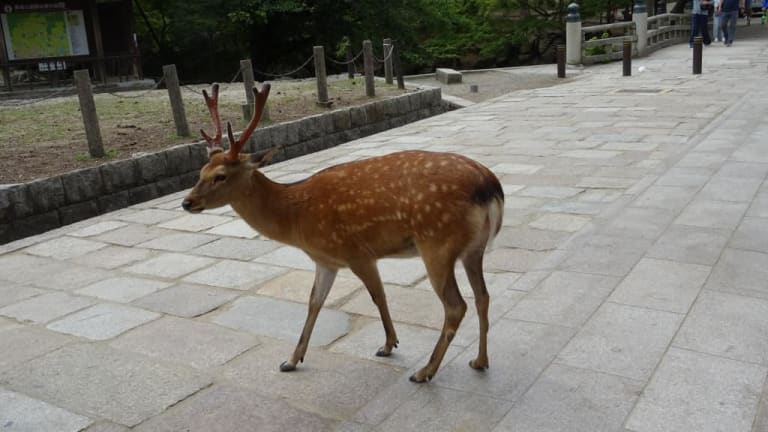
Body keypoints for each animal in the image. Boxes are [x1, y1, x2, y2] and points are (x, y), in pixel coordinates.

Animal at [182, 83, 504, 383]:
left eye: (220, 176)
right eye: (200, 171)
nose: (187, 202)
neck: (297, 218)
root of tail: (489, 185)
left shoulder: (356, 252)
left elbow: (377, 295)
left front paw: (388, 345)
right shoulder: (326, 261)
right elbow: (314, 303)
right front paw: (291, 360)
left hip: (436, 243)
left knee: (456, 306)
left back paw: (424, 371)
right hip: (473, 249)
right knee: (483, 296)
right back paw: (480, 361)